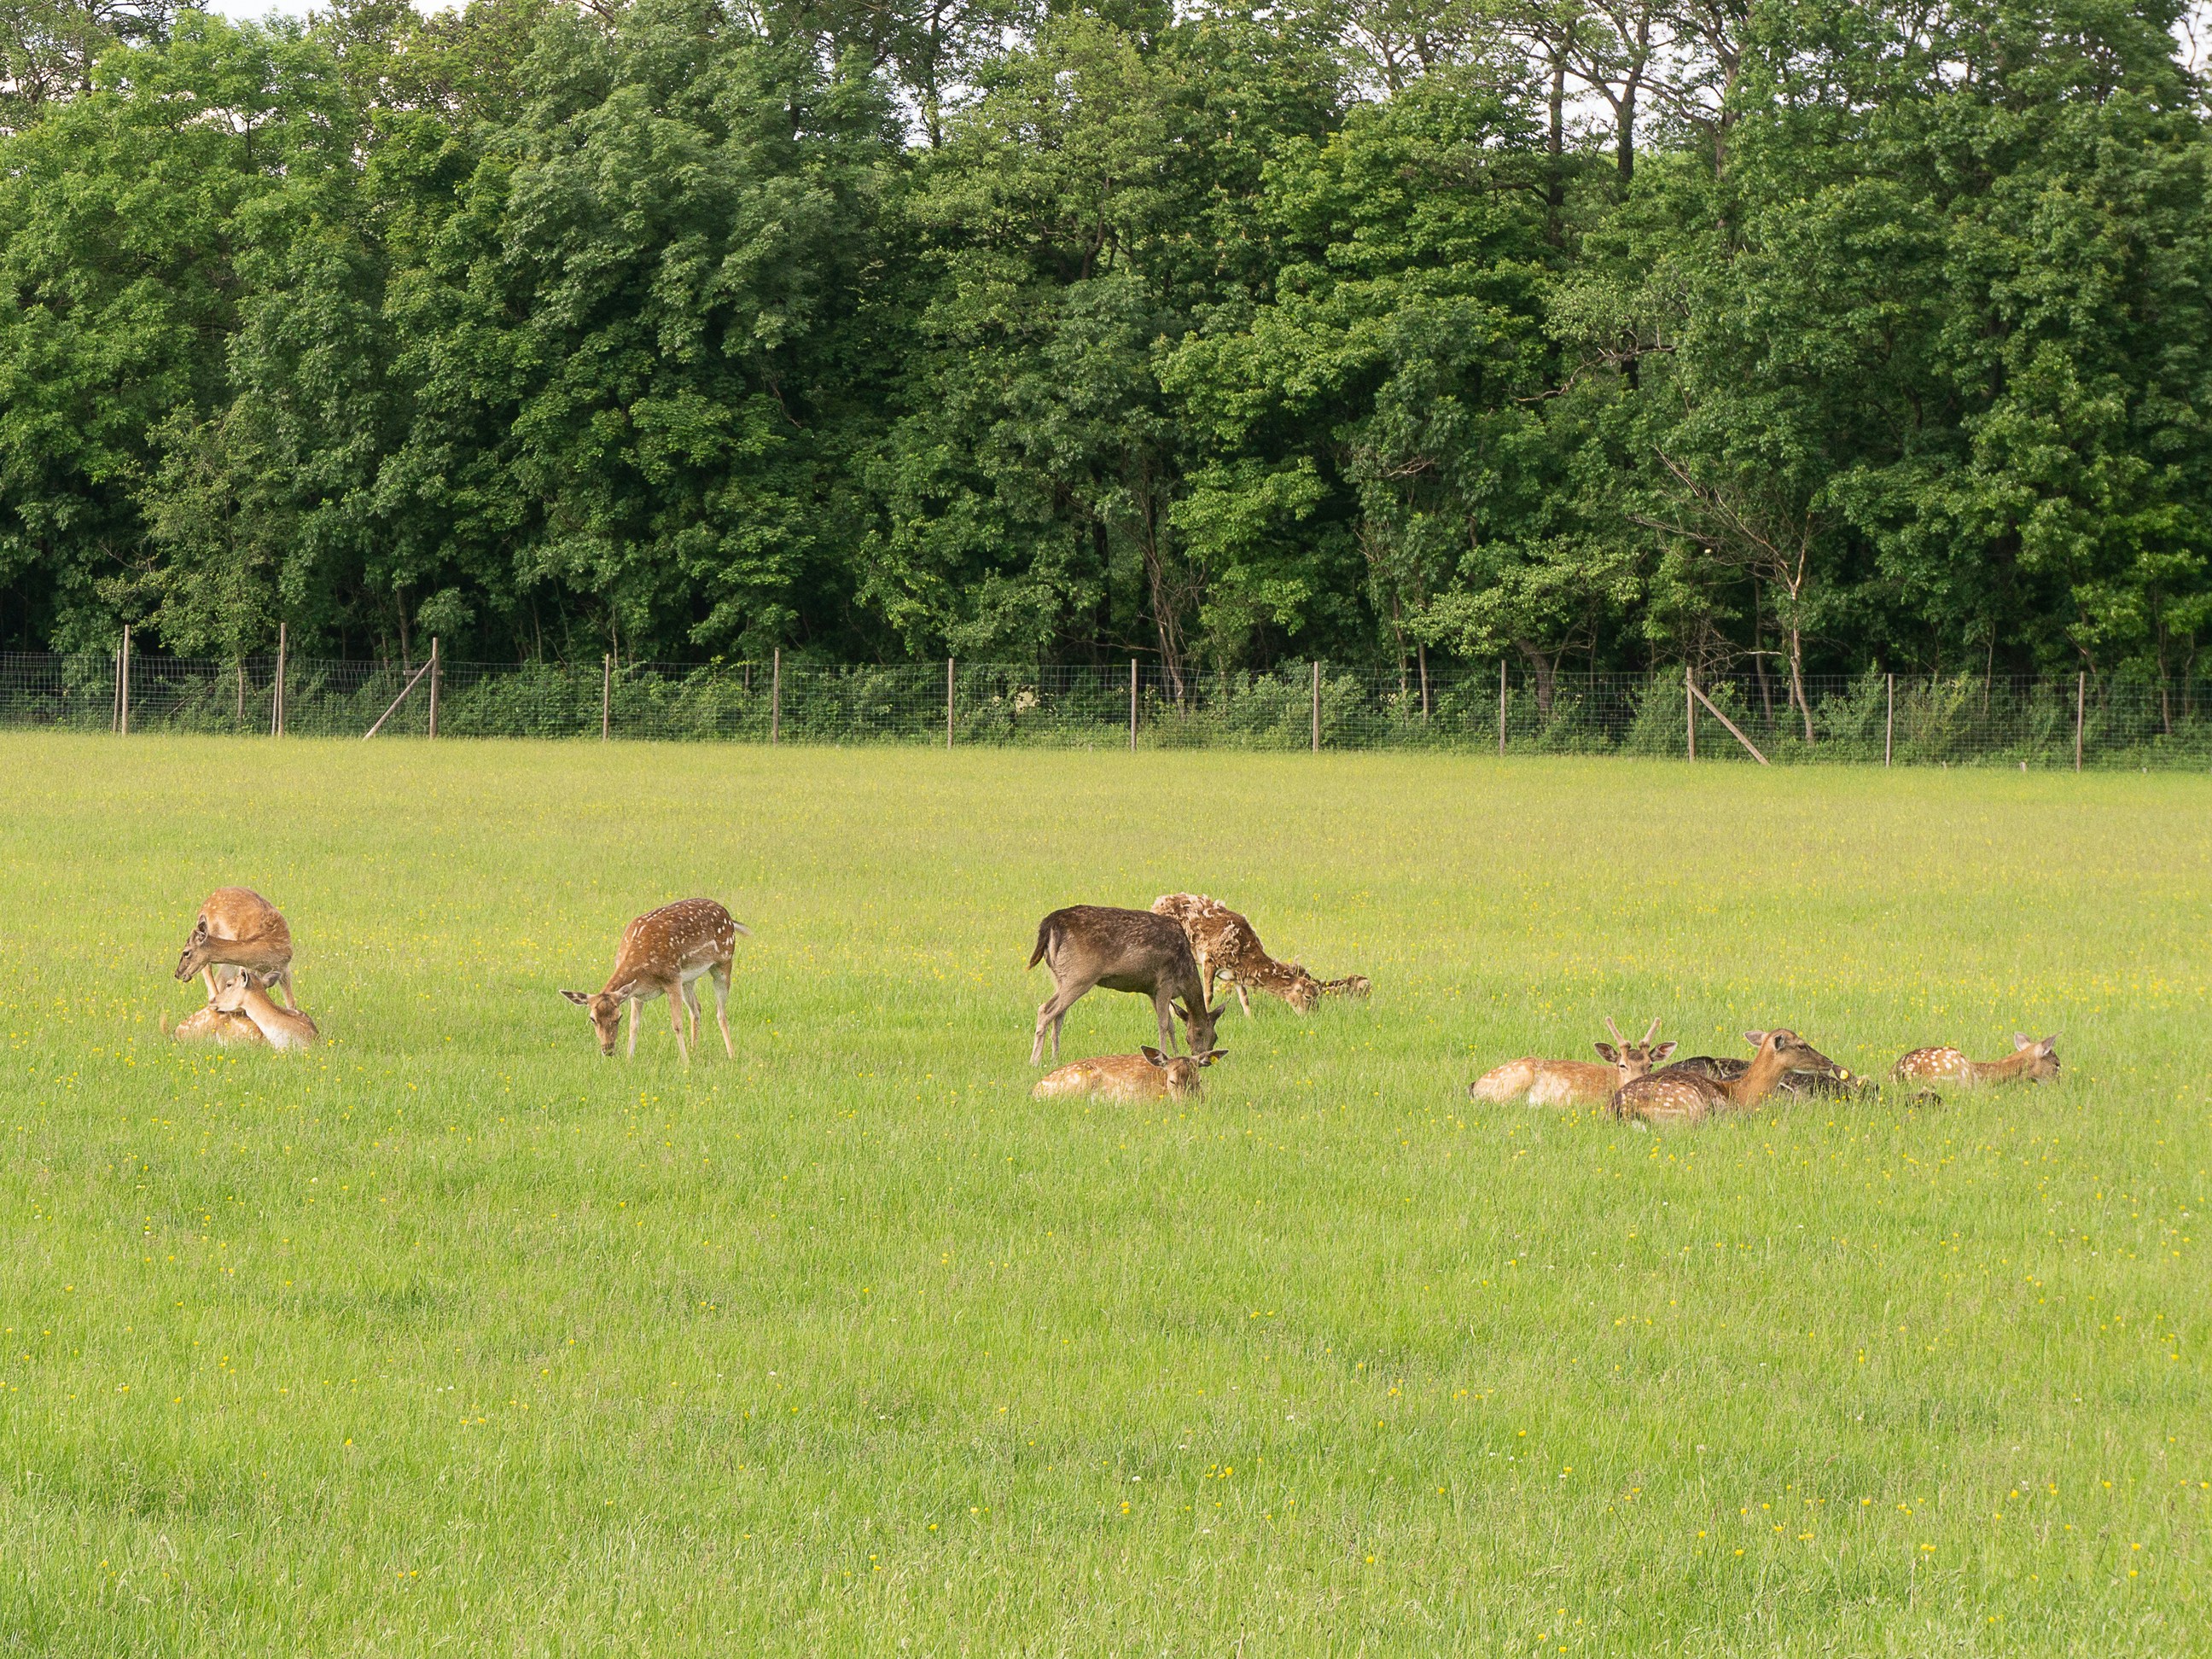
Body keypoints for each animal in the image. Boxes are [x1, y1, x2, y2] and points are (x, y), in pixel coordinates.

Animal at [560, 897, 749, 1063]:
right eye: (592, 1018)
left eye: (618, 1017)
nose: (608, 1050)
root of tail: (728, 916)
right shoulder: (635, 992)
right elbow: (634, 1026)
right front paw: (629, 1060)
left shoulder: (672, 978)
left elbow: (677, 1024)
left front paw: (685, 1063)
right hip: (688, 979)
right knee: (696, 1008)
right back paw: (694, 1050)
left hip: (724, 962)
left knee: (721, 1012)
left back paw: (731, 1055)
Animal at [1028, 905, 1221, 1065]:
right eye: (1200, 1033)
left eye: (1215, 1038)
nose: (1205, 1058)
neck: (1185, 976)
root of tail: (1050, 923)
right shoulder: (1166, 981)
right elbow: (1164, 1023)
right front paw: (1164, 1056)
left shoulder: (1152, 990)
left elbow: (1171, 1025)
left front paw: (1175, 1053)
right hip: (1079, 976)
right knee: (1045, 1010)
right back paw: (1035, 1060)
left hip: (1060, 977)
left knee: (1059, 1015)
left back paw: (1055, 1059)